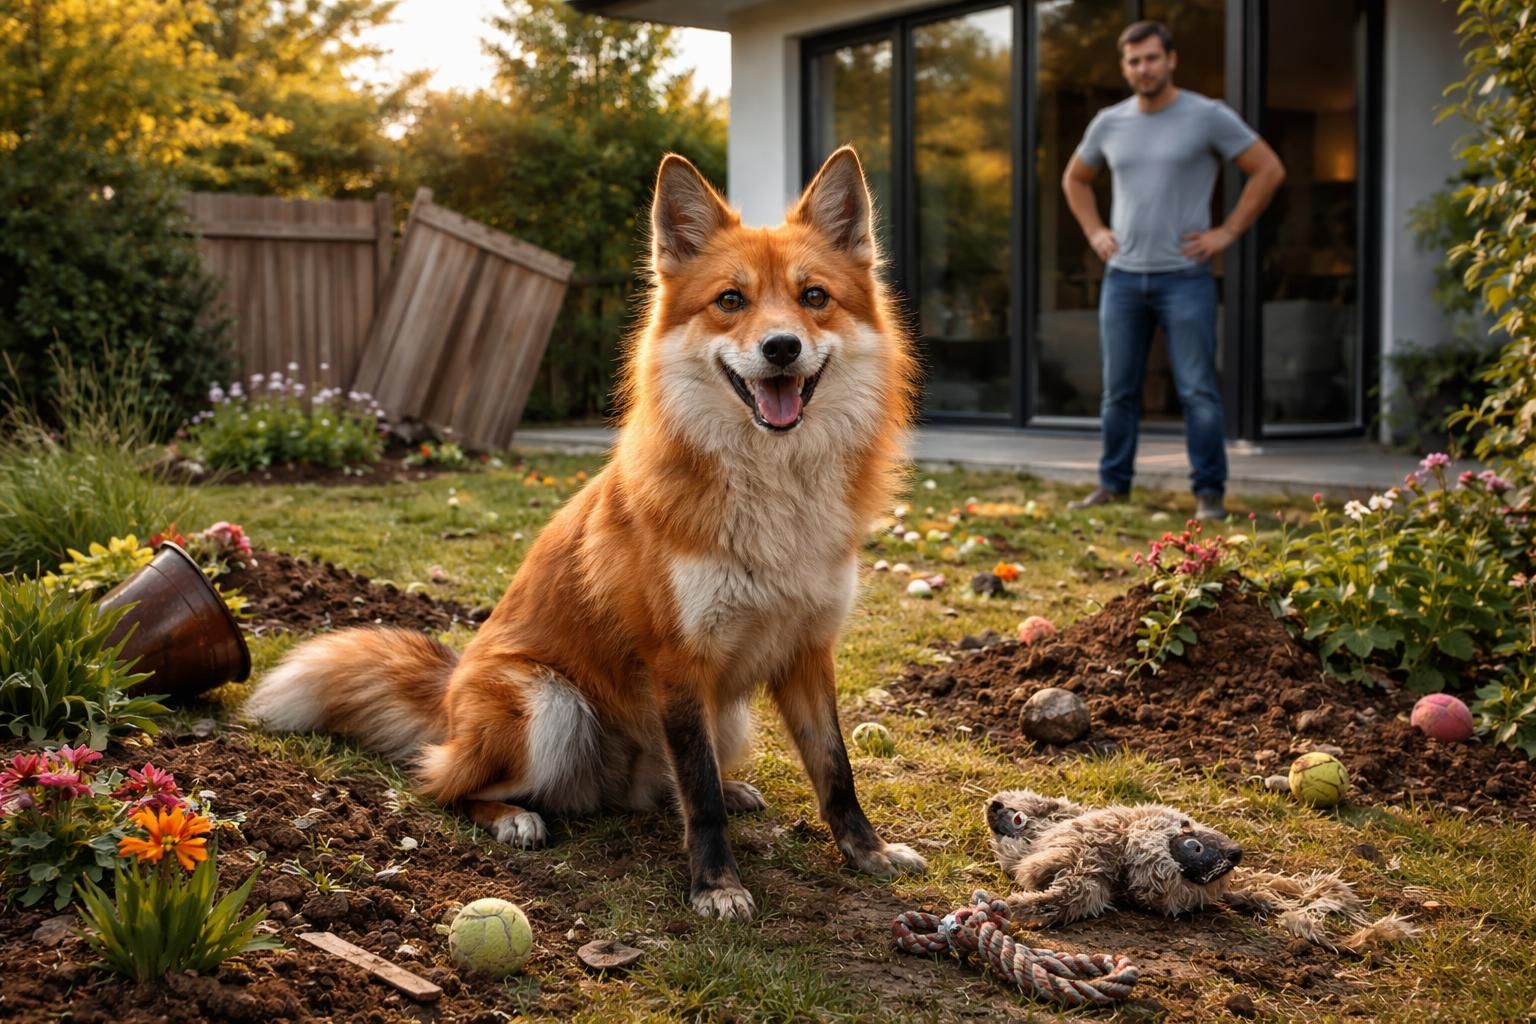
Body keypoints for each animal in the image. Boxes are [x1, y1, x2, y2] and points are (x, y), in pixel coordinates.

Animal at [244, 146, 927, 921]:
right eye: (731, 301)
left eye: (813, 297)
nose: (781, 348)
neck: (775, 502)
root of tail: (449, 692)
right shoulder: (676, 662)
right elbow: (699, 798)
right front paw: (716, 885)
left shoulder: (809, 649)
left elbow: (834, 771)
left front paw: (867, 853)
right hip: (550, 707)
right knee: (443, 785)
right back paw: (511, 817)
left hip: (723, 719)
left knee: (656, 792)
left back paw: (719, 791)